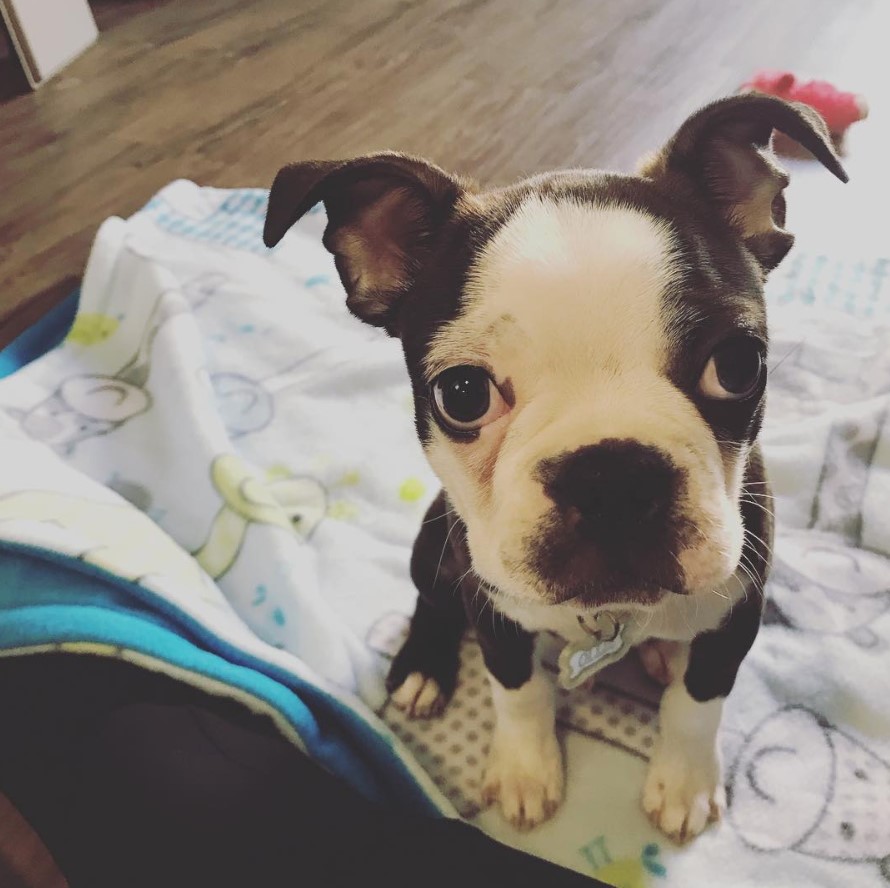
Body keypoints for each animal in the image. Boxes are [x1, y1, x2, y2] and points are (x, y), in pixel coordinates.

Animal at [264, 93, 848, 844]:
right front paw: (525, 771)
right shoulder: (493, 606)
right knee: (431, 597)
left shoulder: (739, 605)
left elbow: (699, 702)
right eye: (462, 394)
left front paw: (684, 781)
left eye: (739, 365)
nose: (613, 477)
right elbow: (518, 690)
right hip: (436, 539)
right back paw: (422, 668)